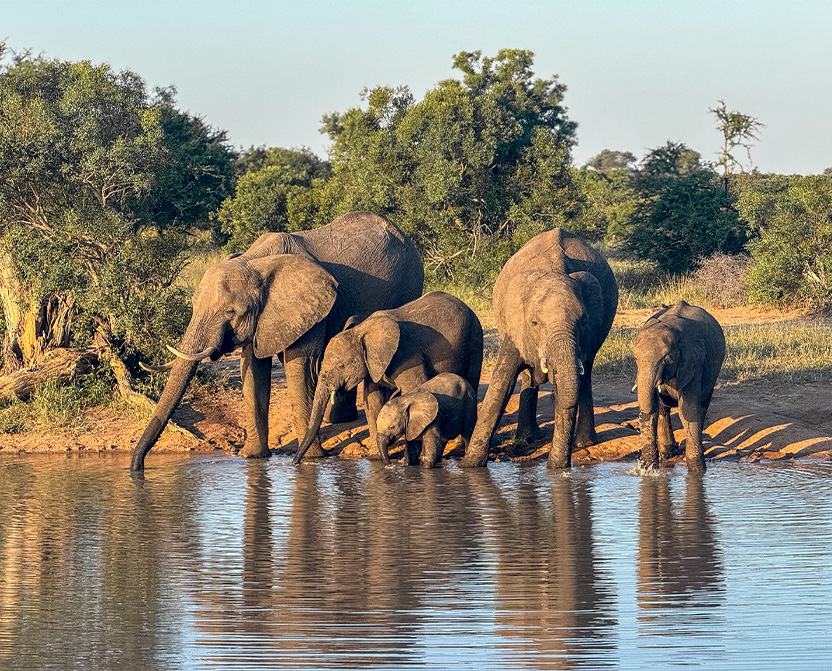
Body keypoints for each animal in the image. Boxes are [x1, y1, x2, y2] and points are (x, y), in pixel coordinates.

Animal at [130, 212, 423, 471]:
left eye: (230, 312)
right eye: (192, 305)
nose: (138, 467)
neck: (254, 262)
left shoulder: (308, 307)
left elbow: (298, 367)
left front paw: (312, 459)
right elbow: (252, 370)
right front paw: (252, 457)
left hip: (408, 285)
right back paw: (339, 418)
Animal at [292, 291, 483, 464]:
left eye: (340, 366)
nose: (295, 462)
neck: (361, 330)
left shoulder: (408, 357)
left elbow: (416, 389)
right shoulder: (372, 364)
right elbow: (372, 401)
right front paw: (376, 459)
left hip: (475, 340)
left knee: (471, 382)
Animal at [460, 228, 618, 469]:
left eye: (583, 322)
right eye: (534, 323)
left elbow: (568, 389)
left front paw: (557, 470)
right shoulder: (516, 327)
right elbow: (501, 384)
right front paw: (469, 467)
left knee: (586, 373)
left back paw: (584, 443)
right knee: (528, 376)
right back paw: (528, 437)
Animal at [633, 300, 725, 473]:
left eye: (667, 358)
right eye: (635, 357)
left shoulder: (693, 363)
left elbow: (688, 411)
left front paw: (697, 471)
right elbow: (652, 410)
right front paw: (648, 469)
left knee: (703, 404)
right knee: (664, 409)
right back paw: (667, 453)